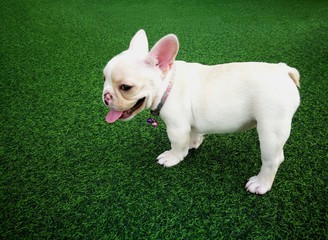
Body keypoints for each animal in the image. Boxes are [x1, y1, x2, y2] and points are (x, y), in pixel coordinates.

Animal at [102, 29, 300, 195]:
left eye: (126, 87)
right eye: (104, 78)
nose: (106, 96)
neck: (168, 84)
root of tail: (284, 70)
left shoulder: (176, 127)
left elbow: (177, 144)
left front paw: (173, 157)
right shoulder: (191, 124)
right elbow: (193, 134)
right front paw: (193, 144)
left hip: (271, 129)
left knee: (273, 159)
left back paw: (261, 184)